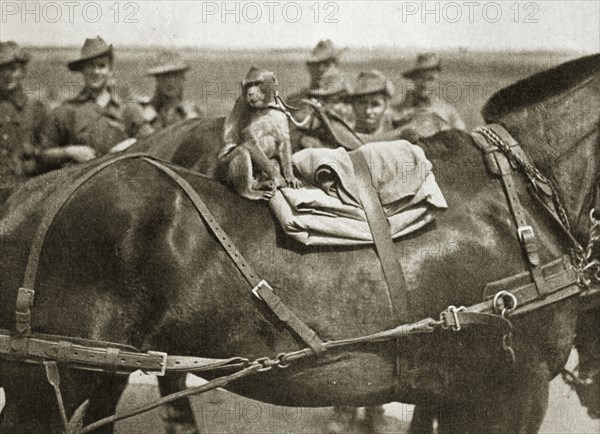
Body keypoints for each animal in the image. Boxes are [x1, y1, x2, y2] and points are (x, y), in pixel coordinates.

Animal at [218, 67, 302, 202]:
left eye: (256, 83)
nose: (250, 93)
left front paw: (290, 176)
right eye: (248, 85)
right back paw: (249, 191)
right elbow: (249, 142)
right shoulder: (244, 106)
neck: (267, 107)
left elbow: (283, 140)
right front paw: (278, 178)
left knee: (273, 160)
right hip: (223, 167)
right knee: (241, 151)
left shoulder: (280, 109)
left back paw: (260, 184)